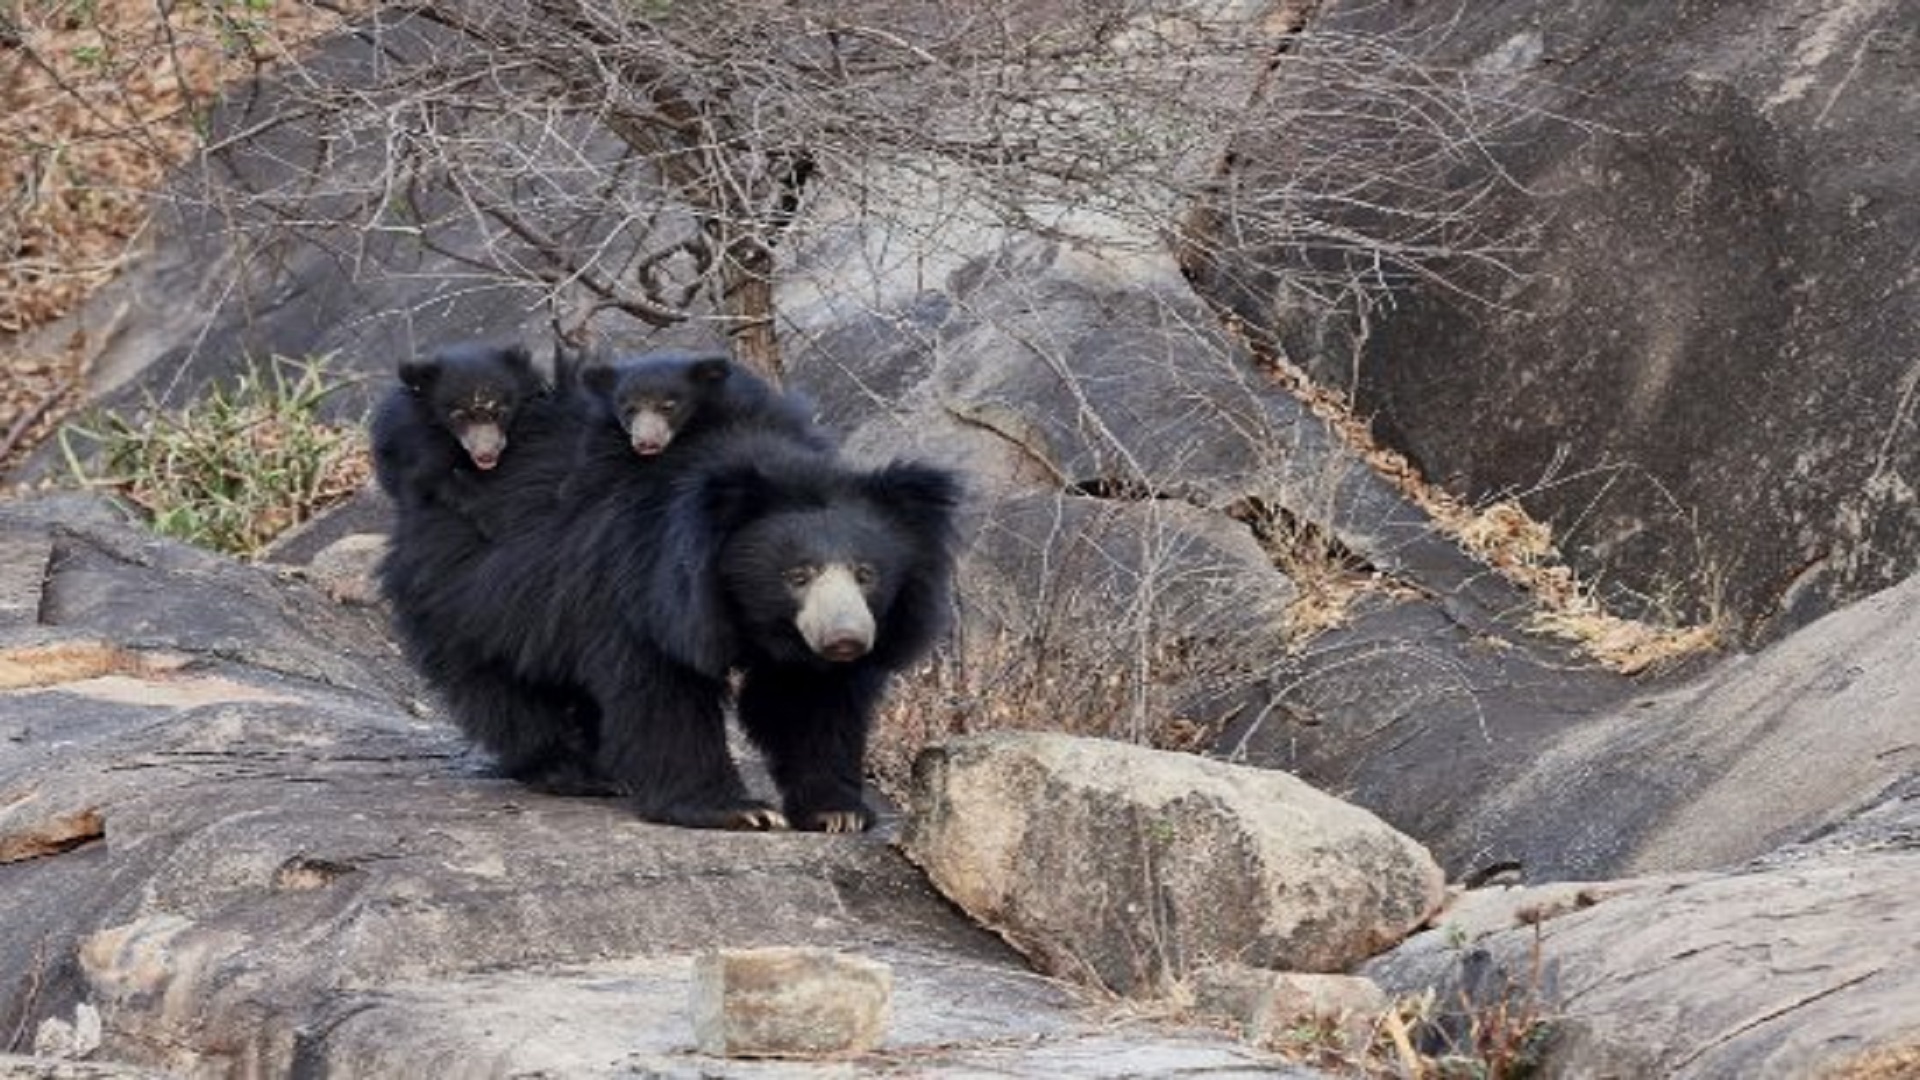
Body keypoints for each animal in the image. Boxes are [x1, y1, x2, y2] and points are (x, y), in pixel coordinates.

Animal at [376, 340, 960, 826]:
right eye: (797, 575)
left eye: (866, 573)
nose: (845, 640)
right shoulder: (640, 580)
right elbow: (661, 687)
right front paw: (737, 811)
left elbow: (808, 702)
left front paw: (837, 812)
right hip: (472, 590)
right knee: (506, 686)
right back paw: (576, 771)